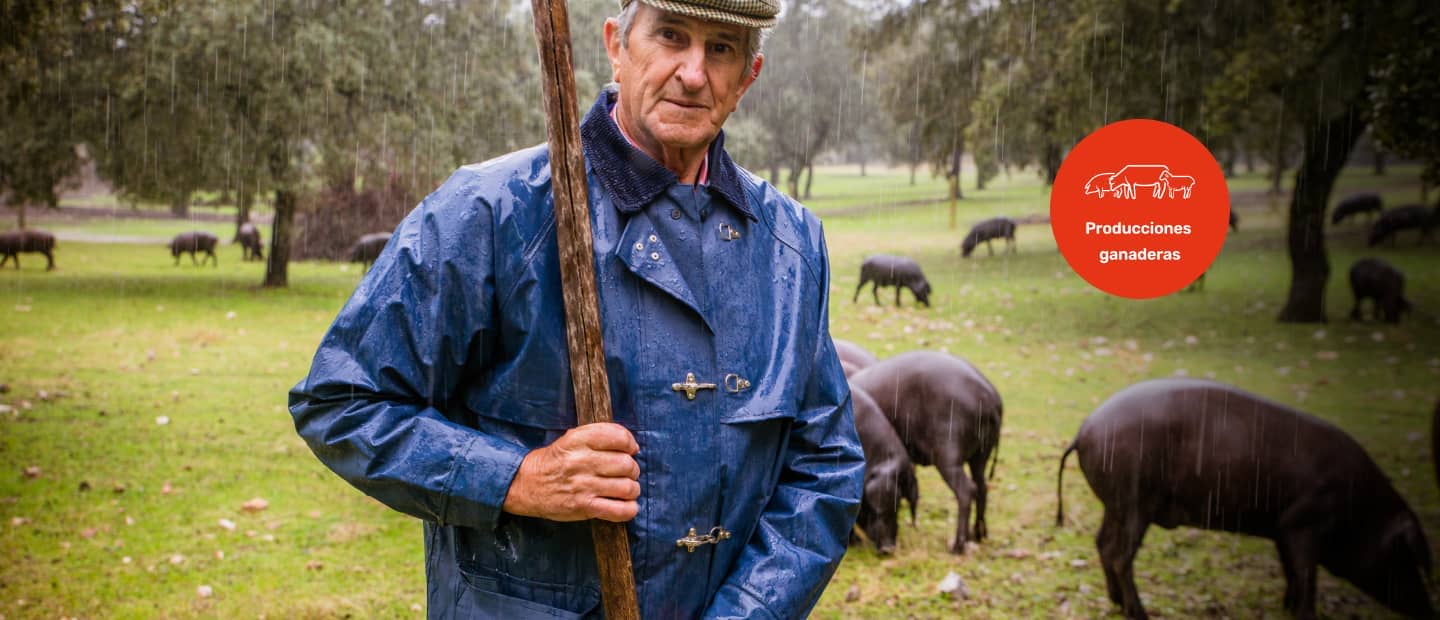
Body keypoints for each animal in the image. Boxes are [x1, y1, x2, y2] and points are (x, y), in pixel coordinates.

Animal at [1054, 379, 1434, 620]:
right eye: (1407, 557)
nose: (1431, 611)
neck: (1362, 511)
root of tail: (1084, 430)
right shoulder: (1303, 523)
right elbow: (1307, 575)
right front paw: (1304, 614)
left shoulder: (1283, 527)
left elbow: (1291, 571)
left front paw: (1285, 608)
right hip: (1135, 498)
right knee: (1121, 556)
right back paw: (1141, 614)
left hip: (1115, 504)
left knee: (1103, 544)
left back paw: (1118, 604)